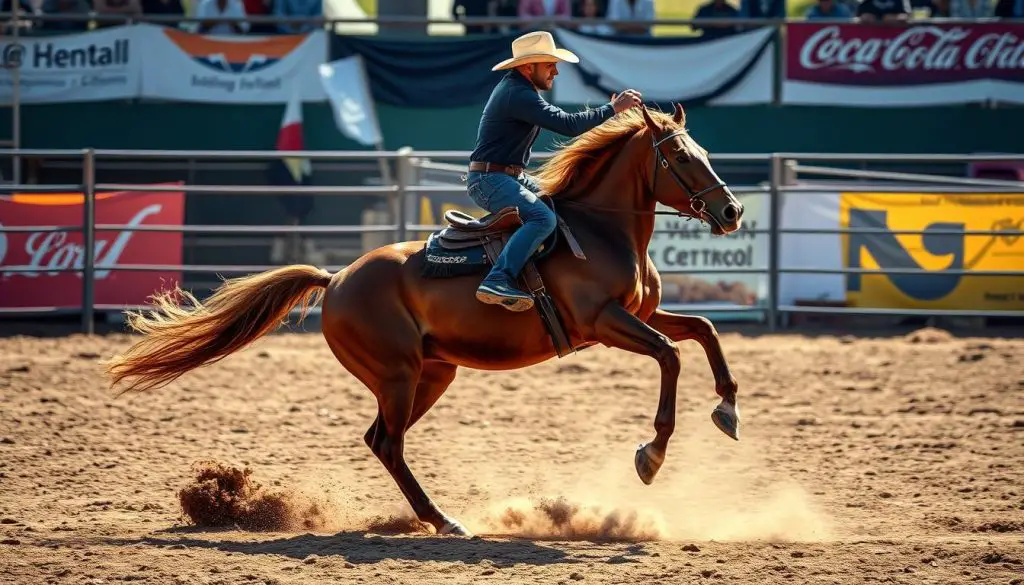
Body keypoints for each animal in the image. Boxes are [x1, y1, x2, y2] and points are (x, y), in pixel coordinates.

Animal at [103, 102, 745, 536]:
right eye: (682, 156)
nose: (733, 211)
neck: (597, 227)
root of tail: (336, 280)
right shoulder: (604, 324)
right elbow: (669, 354)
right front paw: (651, 456)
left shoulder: (641, 312)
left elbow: (703, 332)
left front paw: (728, 411)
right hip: (399, 373)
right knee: (388, 442)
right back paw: (444, 520)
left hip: (431, 373)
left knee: (381, 440)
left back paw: (437, 517)